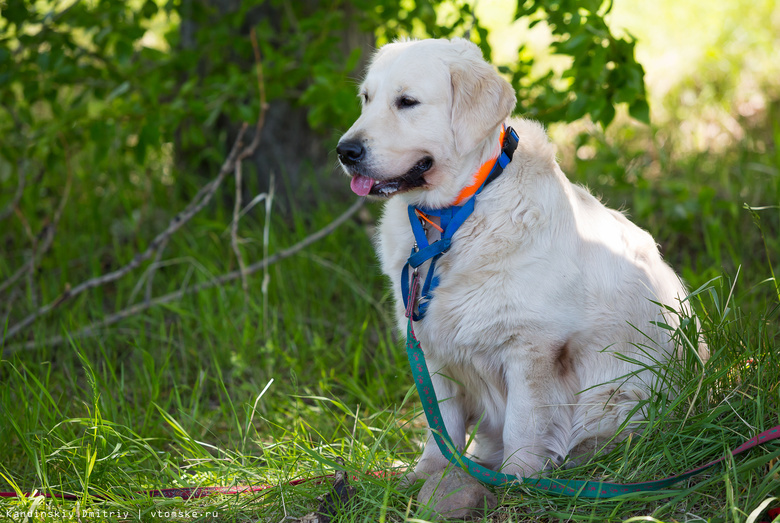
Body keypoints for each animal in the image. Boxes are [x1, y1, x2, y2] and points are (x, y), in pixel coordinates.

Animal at [336, 39, 708, 486]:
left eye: (407, 102)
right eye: (366, 99)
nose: (345, 151)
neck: (455, 215)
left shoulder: (531, 348)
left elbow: (523, 423)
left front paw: (519, 480)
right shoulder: (431, 346)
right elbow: (441, 425)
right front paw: (429, 475)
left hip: (620, 396)